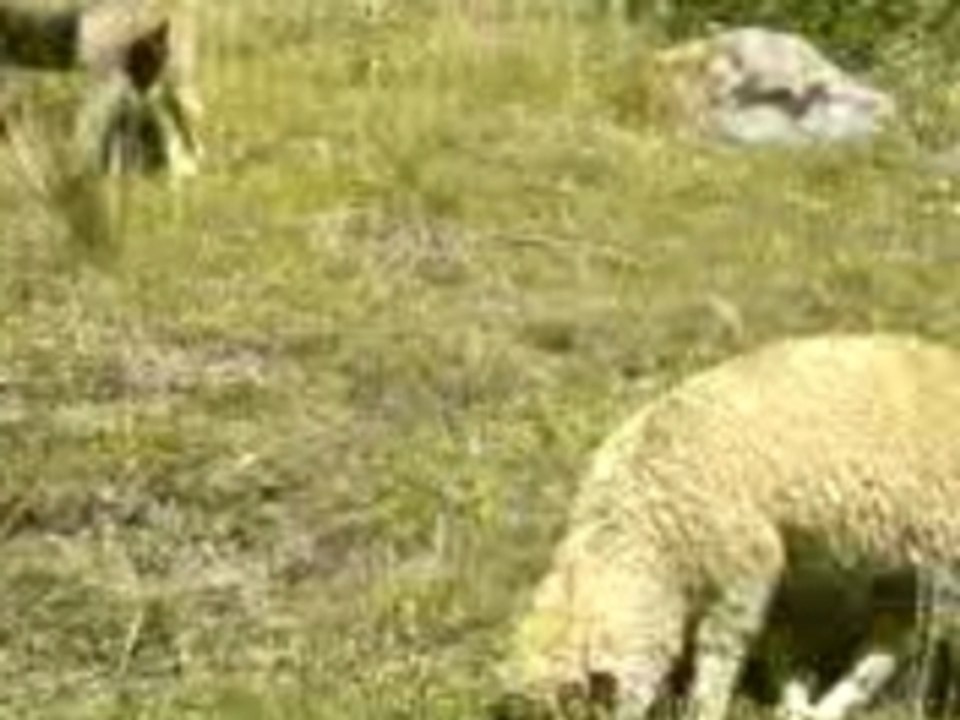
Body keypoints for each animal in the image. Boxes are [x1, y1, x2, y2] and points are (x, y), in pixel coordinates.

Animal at [492, 333, 960, 720]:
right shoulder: (788, 564)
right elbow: (781, 641)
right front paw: (792, 698)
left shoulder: (744, 568)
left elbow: (722, 650)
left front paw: (708, 708)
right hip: (904, 569)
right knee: (892, 641)